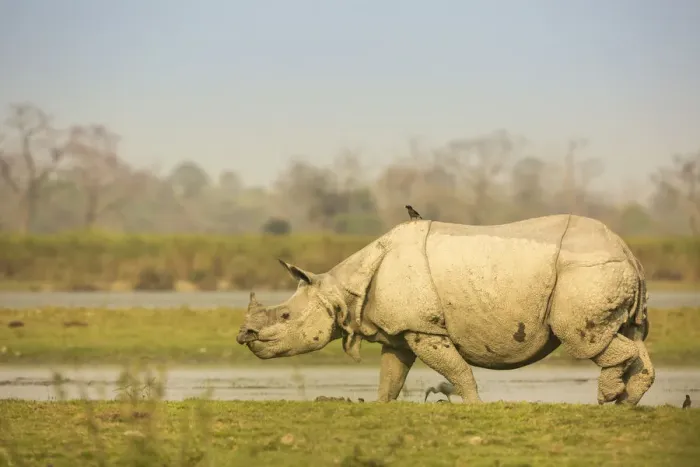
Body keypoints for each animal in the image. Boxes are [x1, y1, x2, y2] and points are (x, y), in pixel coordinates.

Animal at [236, 214, 654, 405]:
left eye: (285, 317)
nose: (244, 335)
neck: (341, 291)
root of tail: (629, 252)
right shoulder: (400, 332)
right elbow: (391, 376)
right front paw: (381, 405)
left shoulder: (424, 329)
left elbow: (456, 370)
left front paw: (474, 405)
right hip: (610, 274)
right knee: (631, 335)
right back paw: (624, 403)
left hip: (586, 273)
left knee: (583, 338)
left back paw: (607, 397)